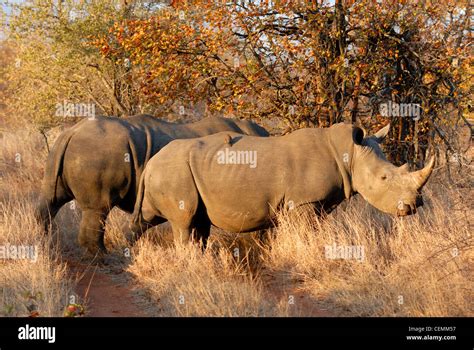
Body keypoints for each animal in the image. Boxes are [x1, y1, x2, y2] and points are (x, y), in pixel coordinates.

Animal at [36, 115, 270, 254]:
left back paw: (43, 242)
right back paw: (101, 257)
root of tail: (71, 132)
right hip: (95, 151)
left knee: (51, 199)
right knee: (98, 208)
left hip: (66, 151)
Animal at [131, 123, 436, 246]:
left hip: (171, 172)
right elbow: (306, 233)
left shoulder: (317, 203)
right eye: (384, 178)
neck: (348, 153)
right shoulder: (303, 201)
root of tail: (151, 161)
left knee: (157, 217)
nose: (415, 204)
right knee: (184, 222)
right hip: (174, 172)